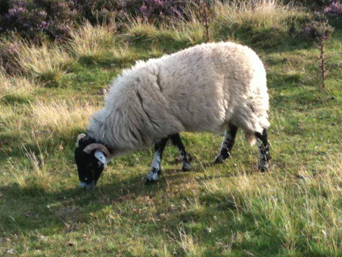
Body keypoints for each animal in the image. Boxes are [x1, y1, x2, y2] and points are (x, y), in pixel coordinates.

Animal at [75, 41, 272, 188]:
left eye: (89, 163)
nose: (85, 186)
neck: (122, 117)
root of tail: (254, 57)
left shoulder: (160, 122)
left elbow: (159, 147)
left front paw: (153, 174)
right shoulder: (167, 122)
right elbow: (177, 141)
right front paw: (185, 163)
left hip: (249, 103)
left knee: (261, 133)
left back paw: (263, 164)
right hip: (235, 108)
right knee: (232, 130)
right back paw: (221, 157)